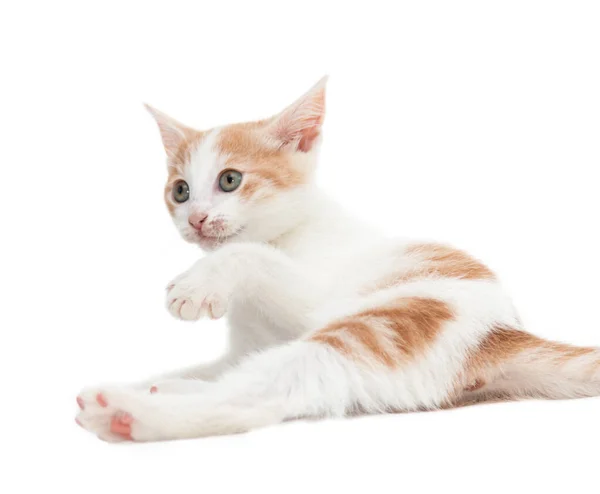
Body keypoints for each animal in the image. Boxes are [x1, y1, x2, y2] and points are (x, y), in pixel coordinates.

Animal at [76, 78, 600, 444]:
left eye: (229, 180)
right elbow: (222, 364)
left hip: (379, 325)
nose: (198, 219)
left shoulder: (316, 292)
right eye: (180, 191)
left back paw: (129, 413)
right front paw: (160, 377)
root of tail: (504, 330)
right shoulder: (245, 346)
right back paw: (155, 391)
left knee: (258, 397)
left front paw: (195, 285)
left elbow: (251, 253)